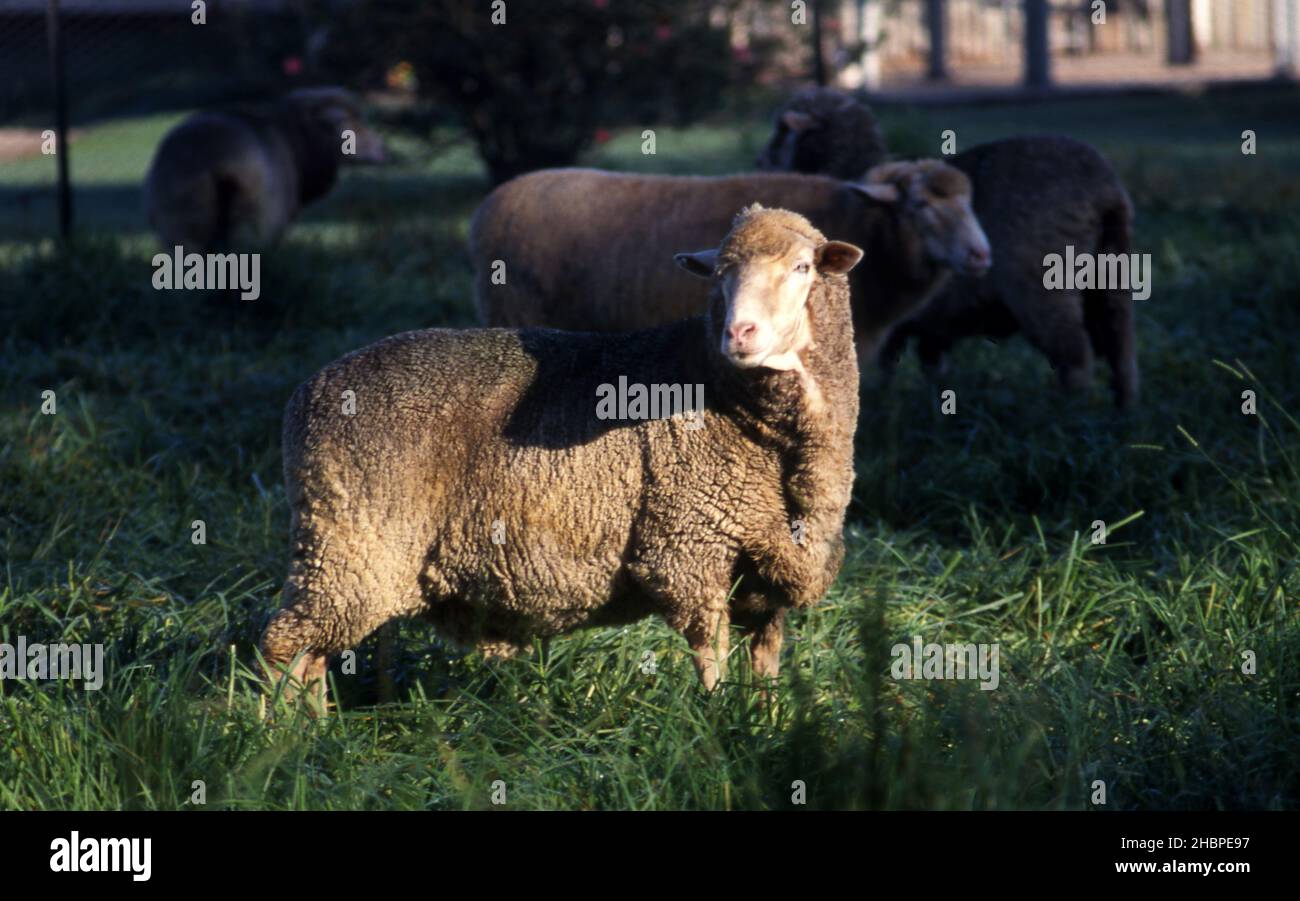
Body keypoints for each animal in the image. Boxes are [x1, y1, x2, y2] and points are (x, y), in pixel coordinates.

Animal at [262, 205, 864, 709]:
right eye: (718, 275)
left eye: (802, 267)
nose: (739, 332)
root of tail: (308, 392)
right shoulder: (689, 550)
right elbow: (711, 658)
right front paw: (719, 722)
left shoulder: (770, 574)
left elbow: (765, 666)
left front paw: (765, 726)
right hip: (348, 548)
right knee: (283, 646)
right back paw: (281, 738)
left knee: (312, 657)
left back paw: (316, 730)